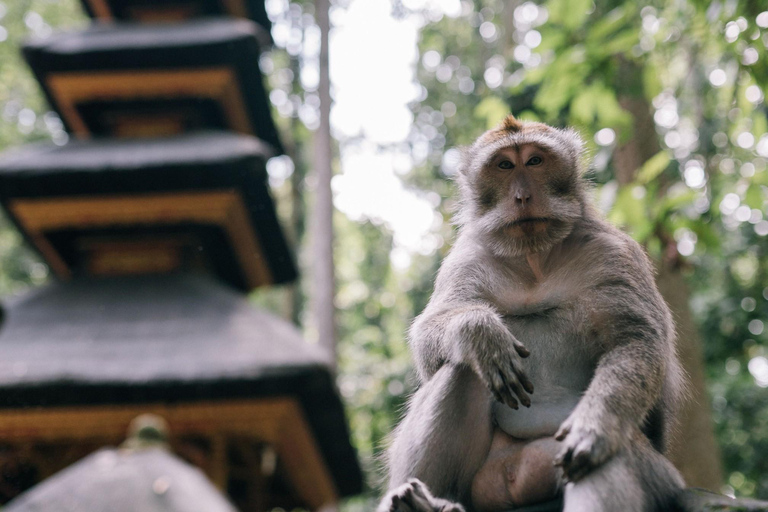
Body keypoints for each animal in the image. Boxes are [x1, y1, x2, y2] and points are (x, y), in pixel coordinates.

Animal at [378, 115, 687, 512]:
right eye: (504, 166)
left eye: (535, 161)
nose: (522, 197)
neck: (535, 257)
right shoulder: (465, 260)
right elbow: (429, 345)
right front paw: (480, 333)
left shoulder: (613, 254)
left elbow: (636, 341)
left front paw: (595, 426)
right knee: (464, 369)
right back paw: (422, 501)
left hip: (654, 475)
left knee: (609, 456)